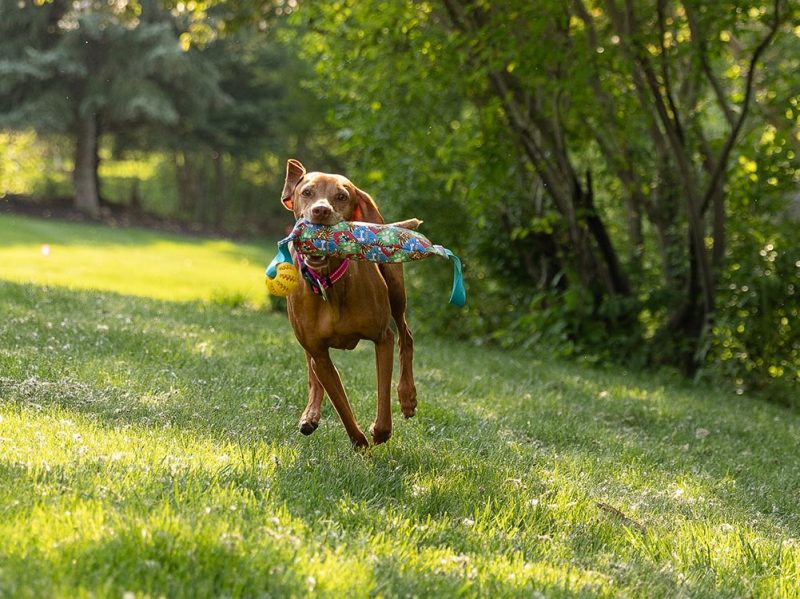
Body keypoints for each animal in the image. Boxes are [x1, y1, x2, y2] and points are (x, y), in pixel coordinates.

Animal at [280, 159, 418, 450]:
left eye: (341, 197)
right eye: (307, 192)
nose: (321, 211)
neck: (329, 285)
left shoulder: (382, 338)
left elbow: (382, 392)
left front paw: (379, 432)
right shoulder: (319, 353)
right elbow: (340, 404)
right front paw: (359, 442)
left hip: (396, 292)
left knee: (406, 335)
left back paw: (407, 397)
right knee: (312, 373)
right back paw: (310, 414)